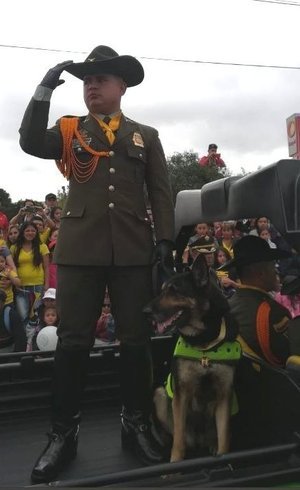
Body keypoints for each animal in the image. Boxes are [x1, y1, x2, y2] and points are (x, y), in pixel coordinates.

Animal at [145, 255, 239, 462]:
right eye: (162, 289)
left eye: (174, 290)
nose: (145, 311)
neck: (204, 342)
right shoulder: (182, 395)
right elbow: (178, 442)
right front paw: (174, 465)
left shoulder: (224, 394)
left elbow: (224, 439)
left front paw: (225, 458)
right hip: (160, 395)